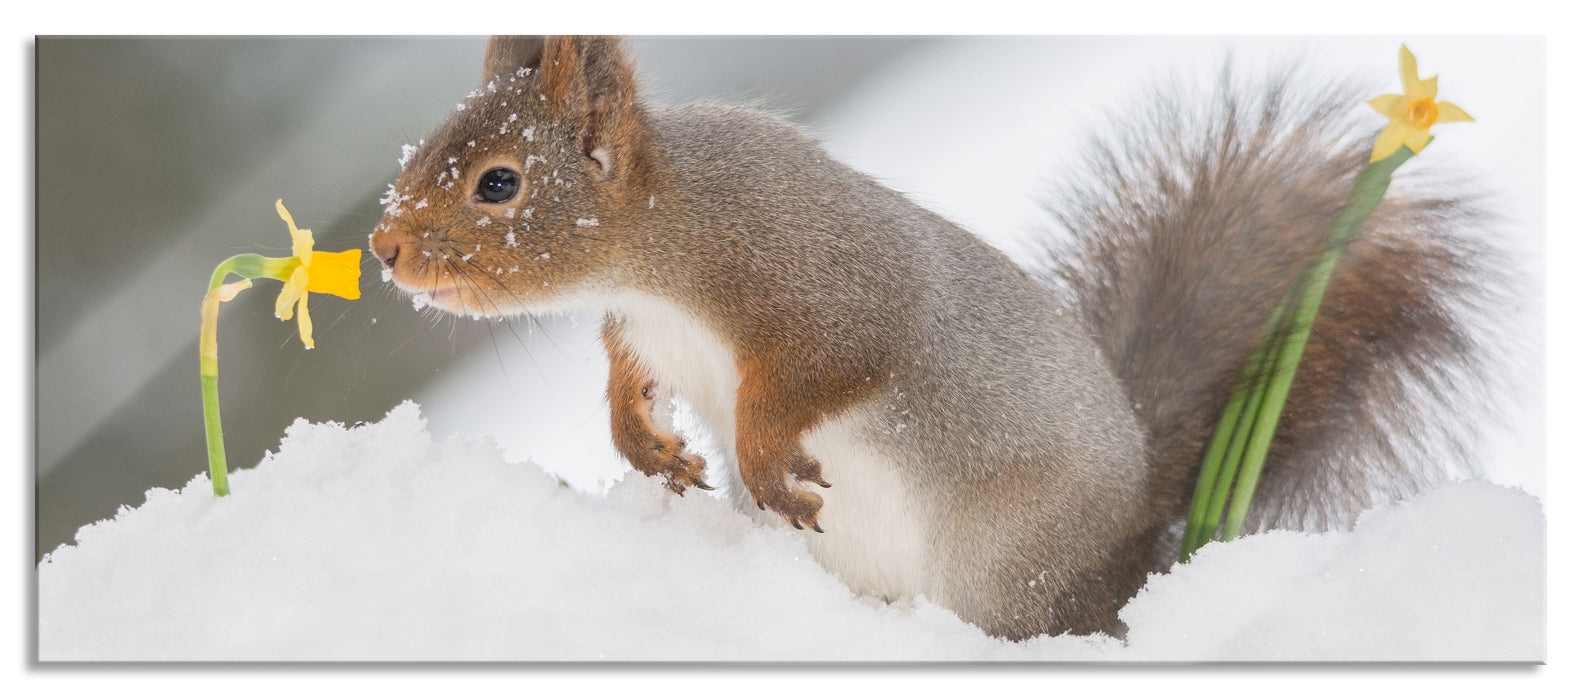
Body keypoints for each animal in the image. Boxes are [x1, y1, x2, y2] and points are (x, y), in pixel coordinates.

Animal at [370, 36, 1493, 639]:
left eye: (499, 183)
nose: (382, 247)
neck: (661, 243)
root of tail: (1139, 540)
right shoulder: (645, 329)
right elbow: (628, 374)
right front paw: (645, 443)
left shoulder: (824, 285)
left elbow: (831, 365)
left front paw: (763, 456)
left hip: (1002, 563)